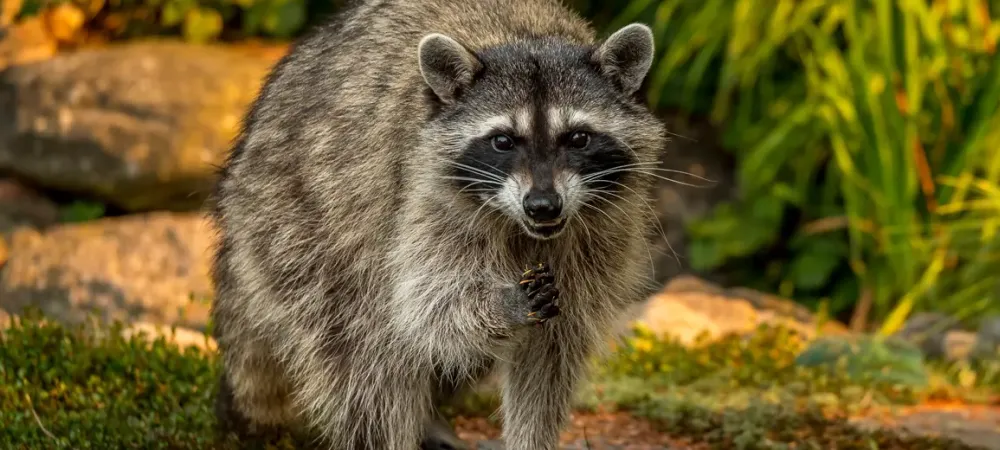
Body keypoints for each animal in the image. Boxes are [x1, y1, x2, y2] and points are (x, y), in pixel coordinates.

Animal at [207, 0, 668, 448]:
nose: (543, 206)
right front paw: (503, 305)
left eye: (578, 138)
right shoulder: (423, 197)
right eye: (503, 141)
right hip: (303, 228)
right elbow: (427, 308)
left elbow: (550, 358)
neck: (525, 38)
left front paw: (531, 438)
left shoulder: (603, 231)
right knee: (366, 352)